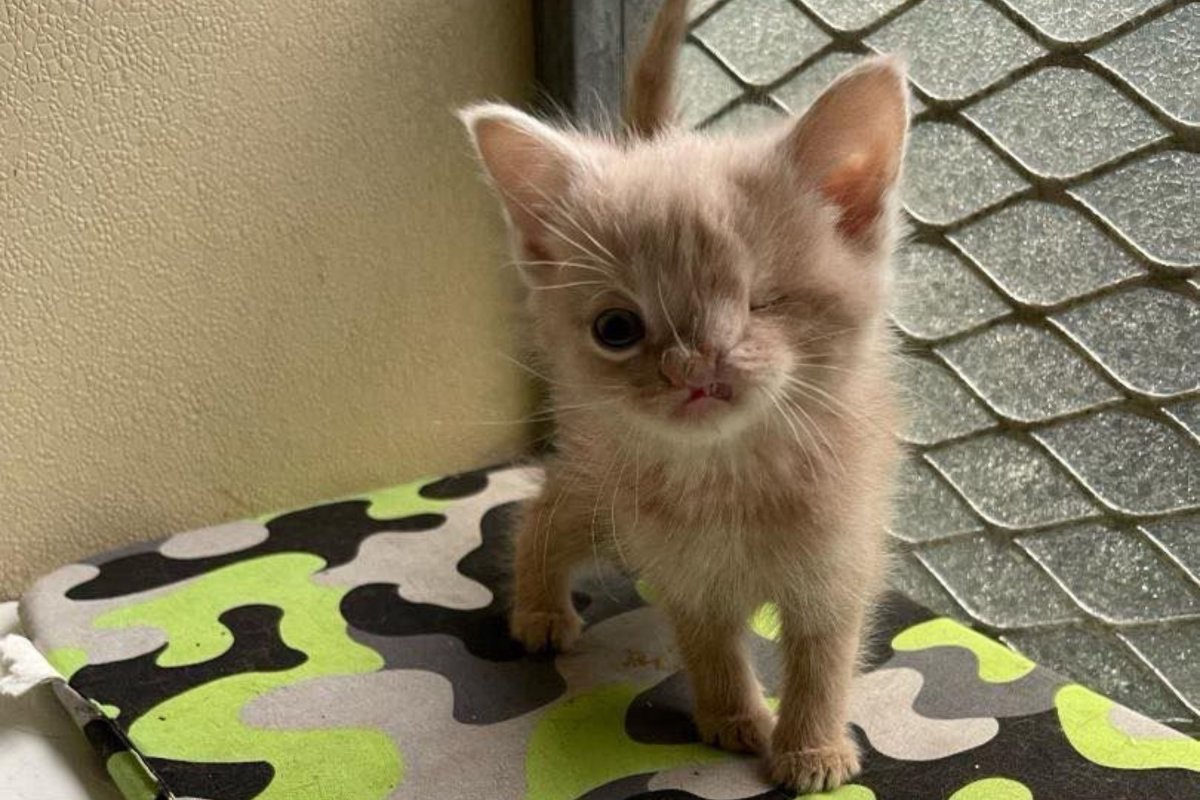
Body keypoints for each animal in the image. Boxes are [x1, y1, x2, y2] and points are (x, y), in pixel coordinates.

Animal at [456, 0, 902, 786]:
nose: (694, 366)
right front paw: (732, 718)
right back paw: (540, 609)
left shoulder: (840, 558)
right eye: (616, 328)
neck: (730, 478)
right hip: (598, 484)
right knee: (542, 510)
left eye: (762, 303)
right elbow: (709, 644)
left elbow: (824, 657)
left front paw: (811, 749)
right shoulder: (685, 570)